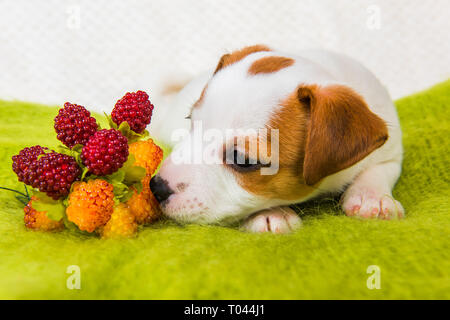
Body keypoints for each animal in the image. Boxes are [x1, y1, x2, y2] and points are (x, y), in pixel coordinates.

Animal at [149, 45, 404, 232]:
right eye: (190, 121)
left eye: (242, 160)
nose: (156, 187)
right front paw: (269, 213)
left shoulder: (391, 148)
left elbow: (381, 169)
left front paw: (372, 197)